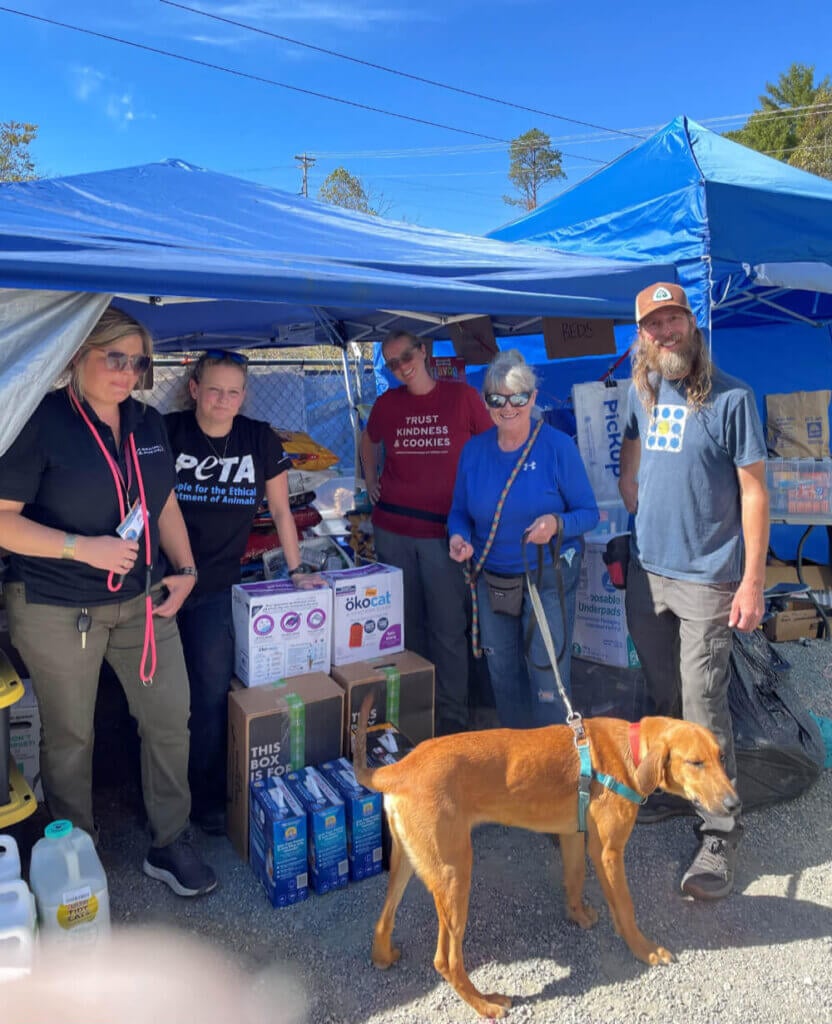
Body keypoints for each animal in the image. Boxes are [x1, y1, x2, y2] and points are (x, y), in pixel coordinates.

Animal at [354, 700, 737, 1019]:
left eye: (721, 757)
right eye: (695, 762)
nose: (735, 805)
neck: (629, 751)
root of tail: (400, 767)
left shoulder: (573, 835)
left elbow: (575, 877)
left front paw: (578, 915)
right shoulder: (609, 852)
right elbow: (625, 908)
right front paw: (645, 950)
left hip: (409, 863)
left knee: (383, 920)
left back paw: (383, 956)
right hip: (455, 874)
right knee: (446, 960)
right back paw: (485, 1003)